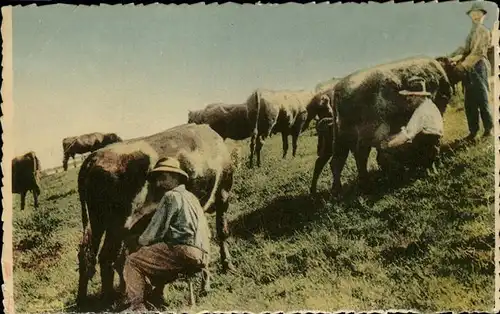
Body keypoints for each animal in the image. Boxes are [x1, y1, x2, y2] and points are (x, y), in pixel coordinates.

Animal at [76, 124, 236, 308]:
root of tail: (94, 156)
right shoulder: (224, 192)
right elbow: (222, 231)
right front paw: (227, 265)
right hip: (117, 224)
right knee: (107, 257)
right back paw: (109, 300)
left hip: (97, 221)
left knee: (87, 255)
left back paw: (84, 300)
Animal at [328, 55, 460, 197]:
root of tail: (337, 91)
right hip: (363, 134)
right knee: (360, 157)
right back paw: (366, 186)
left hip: (341, 137)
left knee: (337, 161)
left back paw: (338, 191)